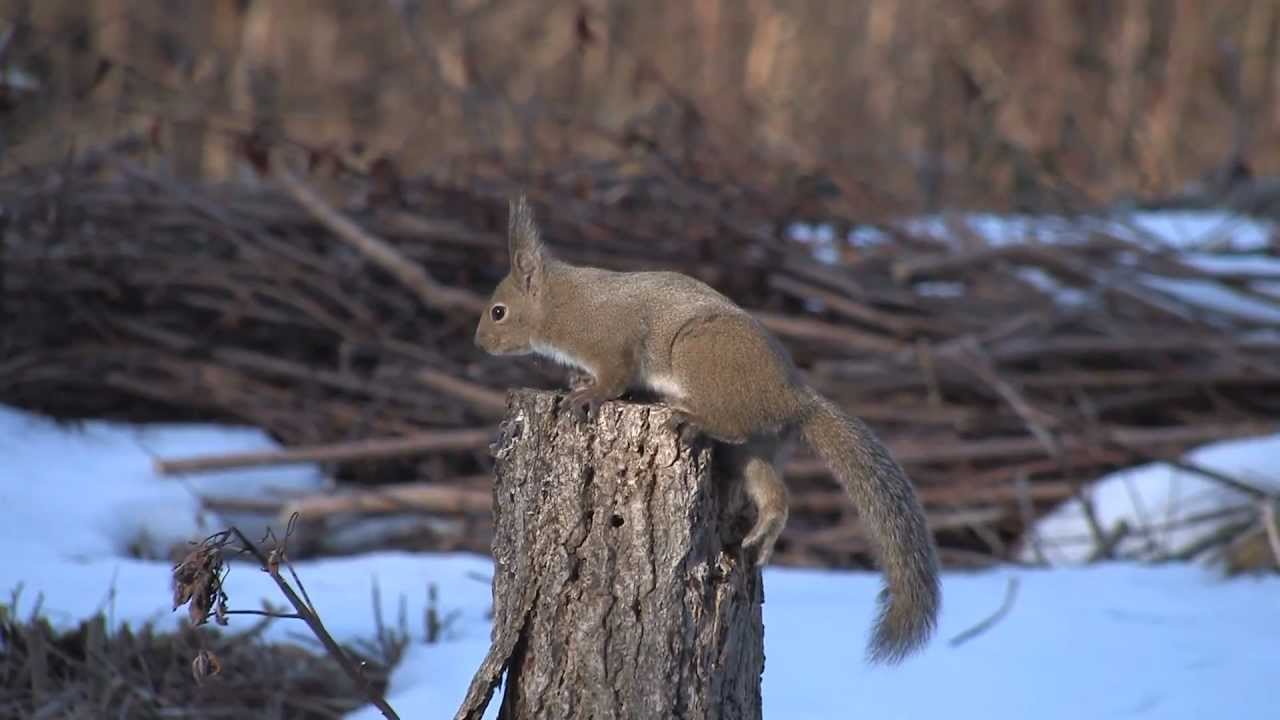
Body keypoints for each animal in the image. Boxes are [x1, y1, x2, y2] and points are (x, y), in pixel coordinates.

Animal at [474, 196, 940, 664]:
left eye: (498, 312)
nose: (479, 344)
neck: (562, 304)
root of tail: (792, 398)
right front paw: (576, 381)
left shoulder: (612, 341)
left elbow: (615, 378)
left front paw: (588, 394)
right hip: (754, 449)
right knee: (773, 490)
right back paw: (762, 535)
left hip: (699, 356)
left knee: (729, 425)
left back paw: (691, 417)